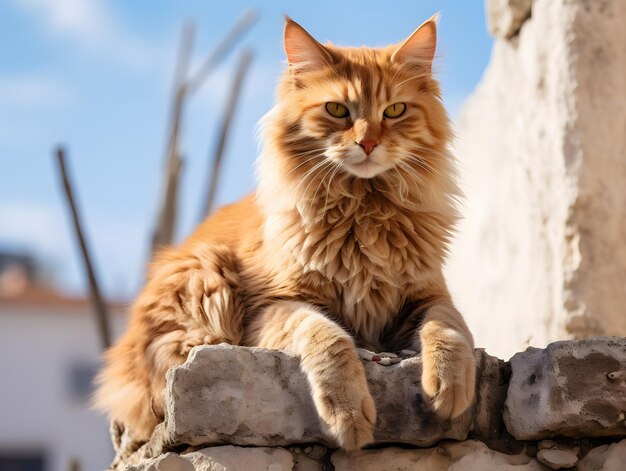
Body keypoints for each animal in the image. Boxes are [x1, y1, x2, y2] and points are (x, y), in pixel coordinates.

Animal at [92, 13, 472, 450]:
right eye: (337, 109)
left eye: (394, 110)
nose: (368, 143)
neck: (364, 210)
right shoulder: (275, 305)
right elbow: (329, 338)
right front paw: (348, 414)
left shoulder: (429, 295)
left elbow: (449, 328)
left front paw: (450, 387)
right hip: (206, 273)